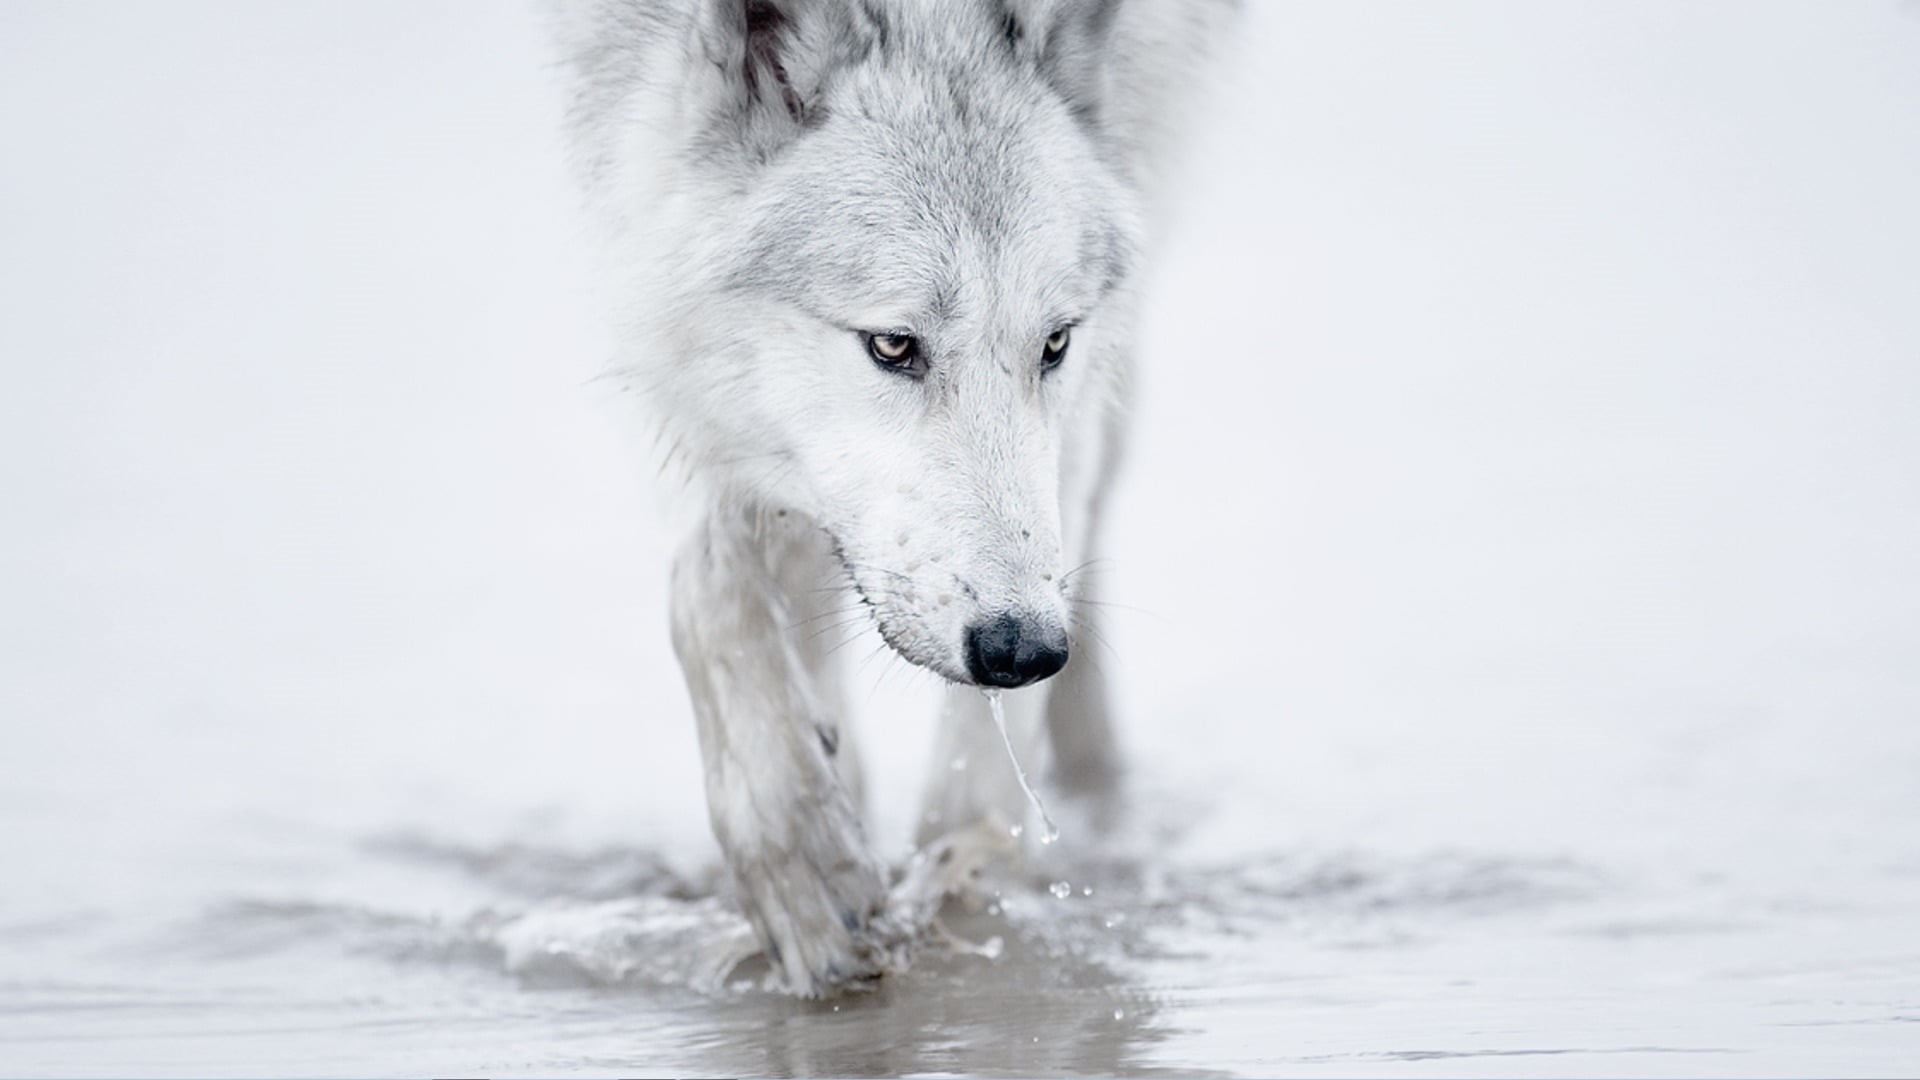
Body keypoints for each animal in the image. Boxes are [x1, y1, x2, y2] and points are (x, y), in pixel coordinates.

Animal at [549, 0, 1233, 996]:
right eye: (893, 345)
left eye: (1054, 343)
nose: (1024, 648)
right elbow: (710, 585)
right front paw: (805, 864)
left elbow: (977, 770)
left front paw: (960, 886)